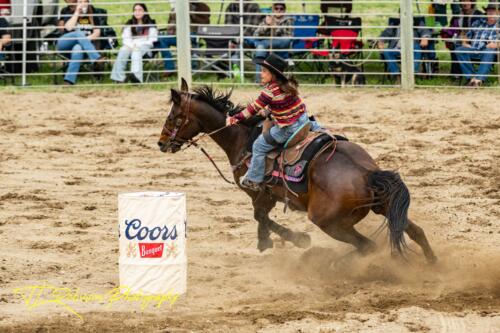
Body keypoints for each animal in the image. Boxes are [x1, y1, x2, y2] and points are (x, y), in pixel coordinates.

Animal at [157, 79, 438, 264]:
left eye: (173, 117)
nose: (161, 143)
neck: (242, 137)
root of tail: (366, 174)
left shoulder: (259, 191)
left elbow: (260, 216)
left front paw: (290, 239)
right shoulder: (269, 195)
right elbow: (261, 217)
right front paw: (266, 241)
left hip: (329, 222)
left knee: (366, 246)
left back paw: (329, 263)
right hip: (384, 206)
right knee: (415, 232)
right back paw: (433, 263)